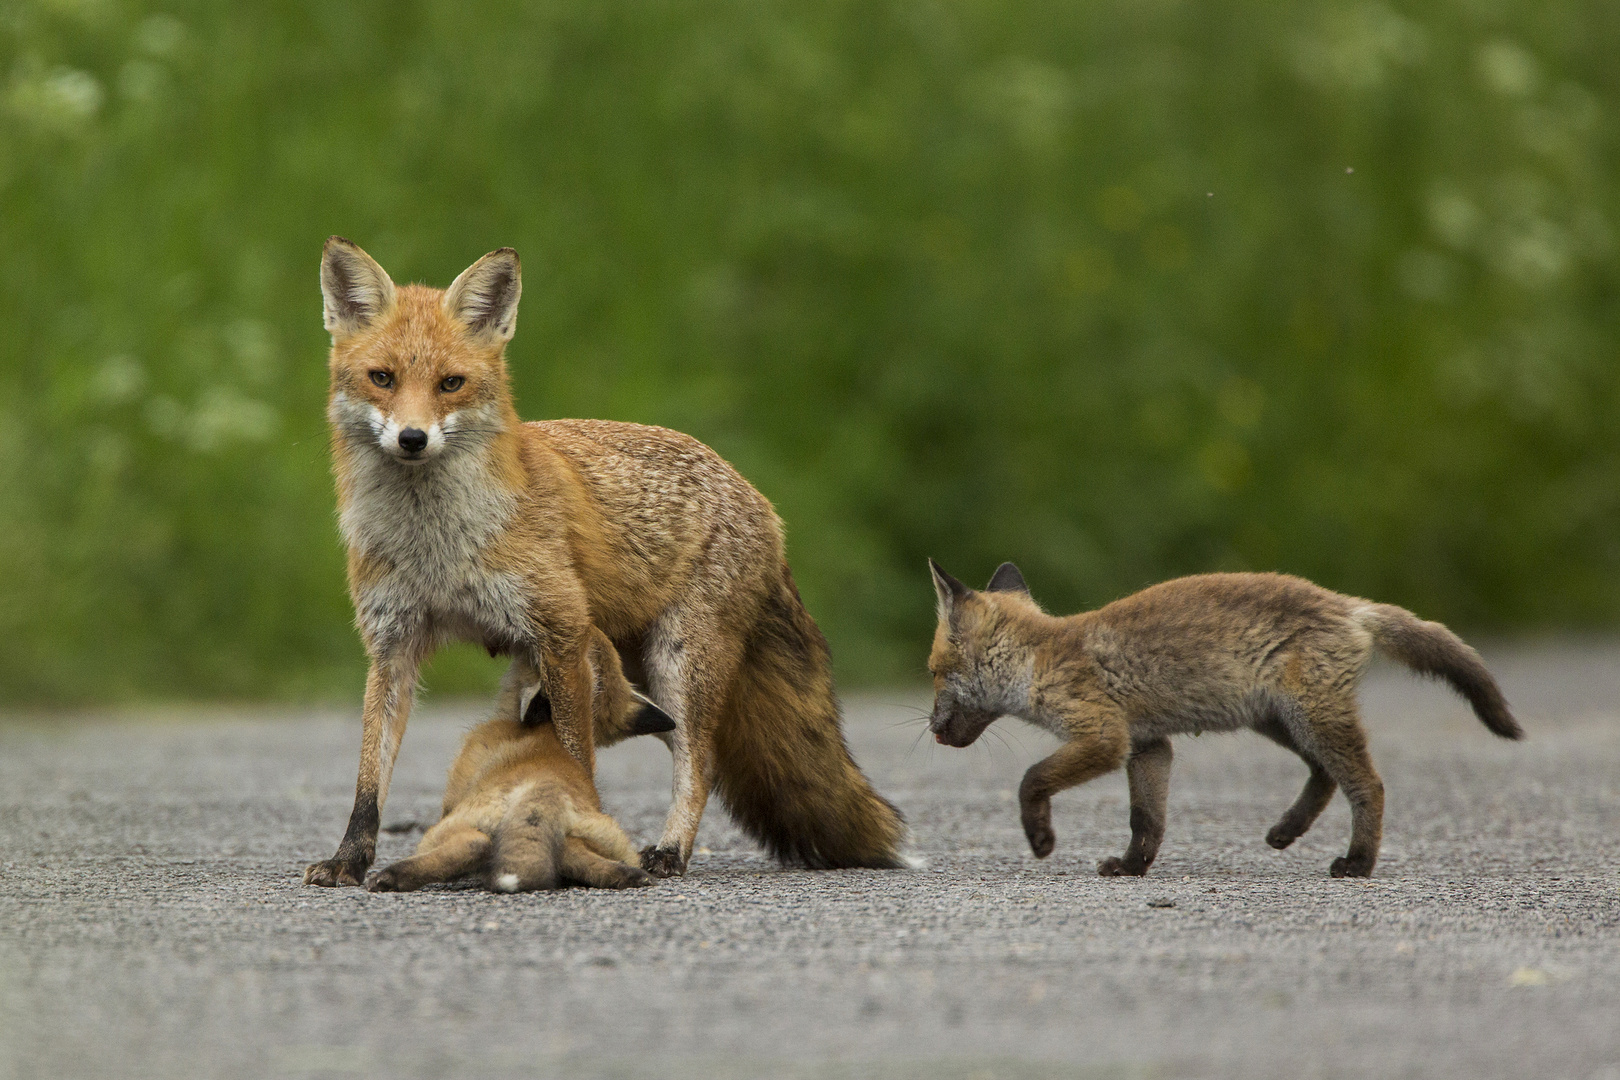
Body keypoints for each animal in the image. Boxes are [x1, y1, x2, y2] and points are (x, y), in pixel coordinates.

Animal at [302, 238, 907, 887]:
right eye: (382, 378)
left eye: (451, 383)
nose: (412, 438)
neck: (438, 548)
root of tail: (761, 501)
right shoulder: (392, 644)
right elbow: (370, 780)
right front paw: (348, 859)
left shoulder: (561, 632)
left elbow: (572, 755)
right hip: (639, 674)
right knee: (682, 743)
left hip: (678, 662)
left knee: (701, 761)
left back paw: (670, 852)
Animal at [926, 566, 1516, 880]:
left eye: (932, 674)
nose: (929, 728)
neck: (1040, 658)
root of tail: (1349, 605)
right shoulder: (1149, 746)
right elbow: (1146, 821)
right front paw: (1132, 867)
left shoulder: (1105, 737)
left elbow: (1031, 780)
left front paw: (1041, 838)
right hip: (1280, 723)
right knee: (1325, 778)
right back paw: (1287, 829)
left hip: (1310, 720)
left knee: (1367, 785)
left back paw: (1358, 862)